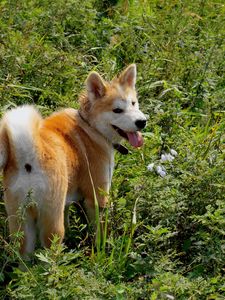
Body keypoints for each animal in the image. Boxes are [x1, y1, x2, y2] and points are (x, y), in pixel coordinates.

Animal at [0, 64, 147, 254]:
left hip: (21, 221)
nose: (142, 121)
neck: (90, 127)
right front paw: (102, 250)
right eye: (117, 110)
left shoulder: (67, 202)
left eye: (133, 103)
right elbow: (100, 231)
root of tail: (27, 155)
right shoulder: (97, 199)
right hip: (52, 223)